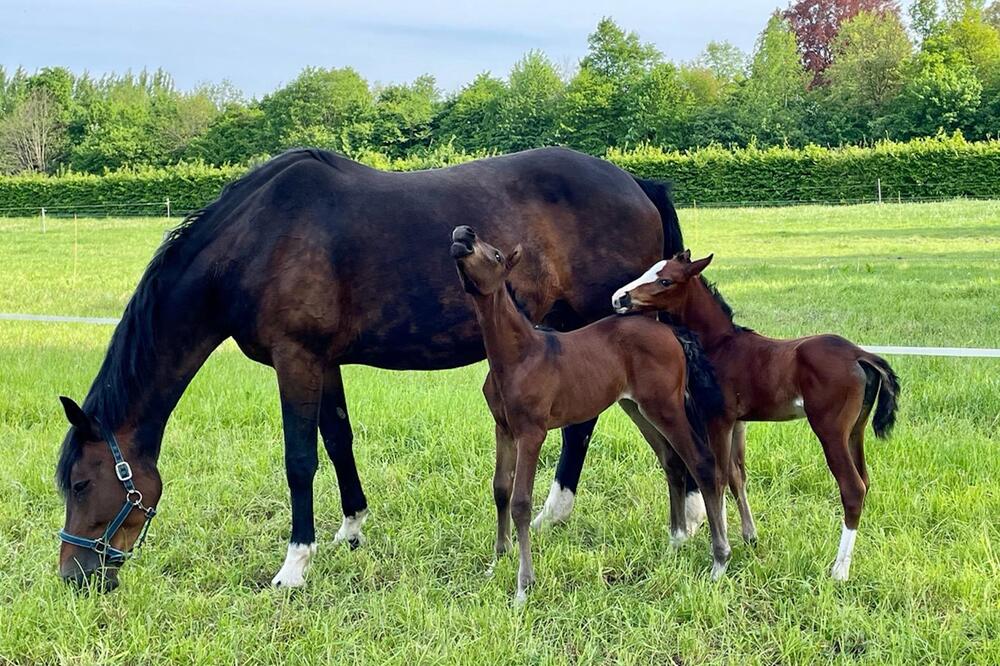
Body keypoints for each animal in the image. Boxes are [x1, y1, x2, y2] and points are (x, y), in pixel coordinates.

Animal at [56, 145, 688, 588]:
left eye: (82, 483)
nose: (74, 576)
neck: (257, 239)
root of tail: (636, 182)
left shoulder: (295, 359)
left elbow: (300, 460)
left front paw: (294, 566)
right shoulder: (323, 362)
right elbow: (338, 442)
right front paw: (351, 529)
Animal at [450, 224, 732, 600]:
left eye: (495, 254)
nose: (462, 233)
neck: (518, 355)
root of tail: (671, 331)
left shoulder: (532, 432)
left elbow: (521, 501)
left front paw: (524, 585)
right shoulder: (503, 428)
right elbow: (500, 490)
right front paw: (497, 562)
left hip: (667, 407)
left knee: (701, 461)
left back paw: (720, 559)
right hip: (638, 407)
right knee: (672, 460)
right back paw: (676, 540)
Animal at [612, 252, 904, 580]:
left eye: (665, 280)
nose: (619, 298)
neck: (722, 345)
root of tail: (860, 354)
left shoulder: (718, 419)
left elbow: (717, 476)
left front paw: (721, 558)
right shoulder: (739, 423)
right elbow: (737, 475)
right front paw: (749, 538)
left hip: (830, 431)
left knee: (852, 488)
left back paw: (839, 571)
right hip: (856, 431)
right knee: (865, 481)